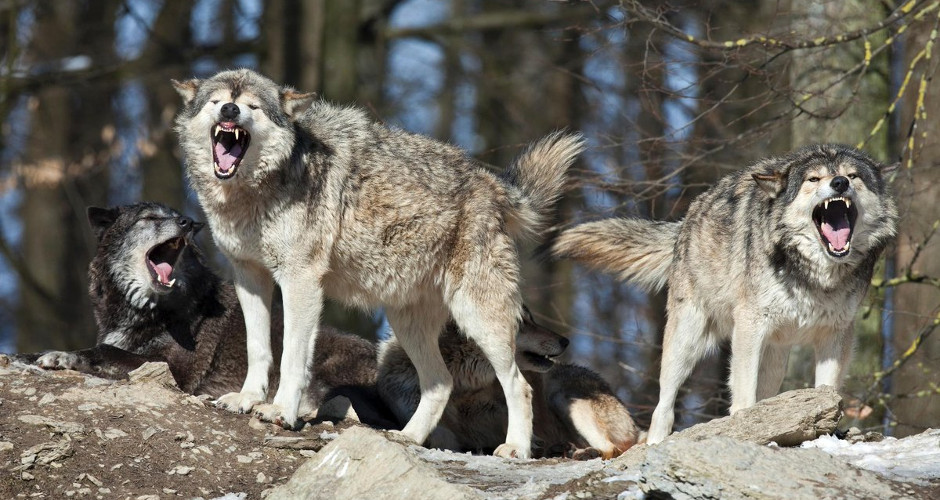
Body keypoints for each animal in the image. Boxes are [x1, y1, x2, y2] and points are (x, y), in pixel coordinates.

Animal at [15, 202, 395, 428]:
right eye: (150, 218)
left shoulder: (174, 370)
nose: (188, 222)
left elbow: (105, 351)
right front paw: (35, 355)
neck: (149, 309)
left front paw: (60, 356)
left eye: (175, 214)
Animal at [172, 69, 584, 458]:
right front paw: (246, 399)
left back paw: (516, 448)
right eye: (217, 101)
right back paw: (408, 438)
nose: (230, 111)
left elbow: (291, 355)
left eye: (252, 106)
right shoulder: (249, 276)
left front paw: (280, 411)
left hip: (480, 320)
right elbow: (258, 347)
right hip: (407, 324)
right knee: (441, 383)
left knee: (519, 385)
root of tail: (493, 184)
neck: (253, 192)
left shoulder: (300, 280)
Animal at [378, 307, 639, 459]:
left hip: (562, 395)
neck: (463, 386)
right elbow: (439, 434)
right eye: (521, 322)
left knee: (611, 449)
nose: (565, 341)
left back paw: (580, 452)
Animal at [553, 145, 898, 444]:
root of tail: (686, 219)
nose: (839, 183)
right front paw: (745, 425)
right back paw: (656, 441)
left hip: (776, 358)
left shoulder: (836, 333)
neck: (814, 276)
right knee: (663, 404)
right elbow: (743, 391)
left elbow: (828, 388)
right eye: (813, 179)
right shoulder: (749, 325)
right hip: (687, 341)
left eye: (853, 176)